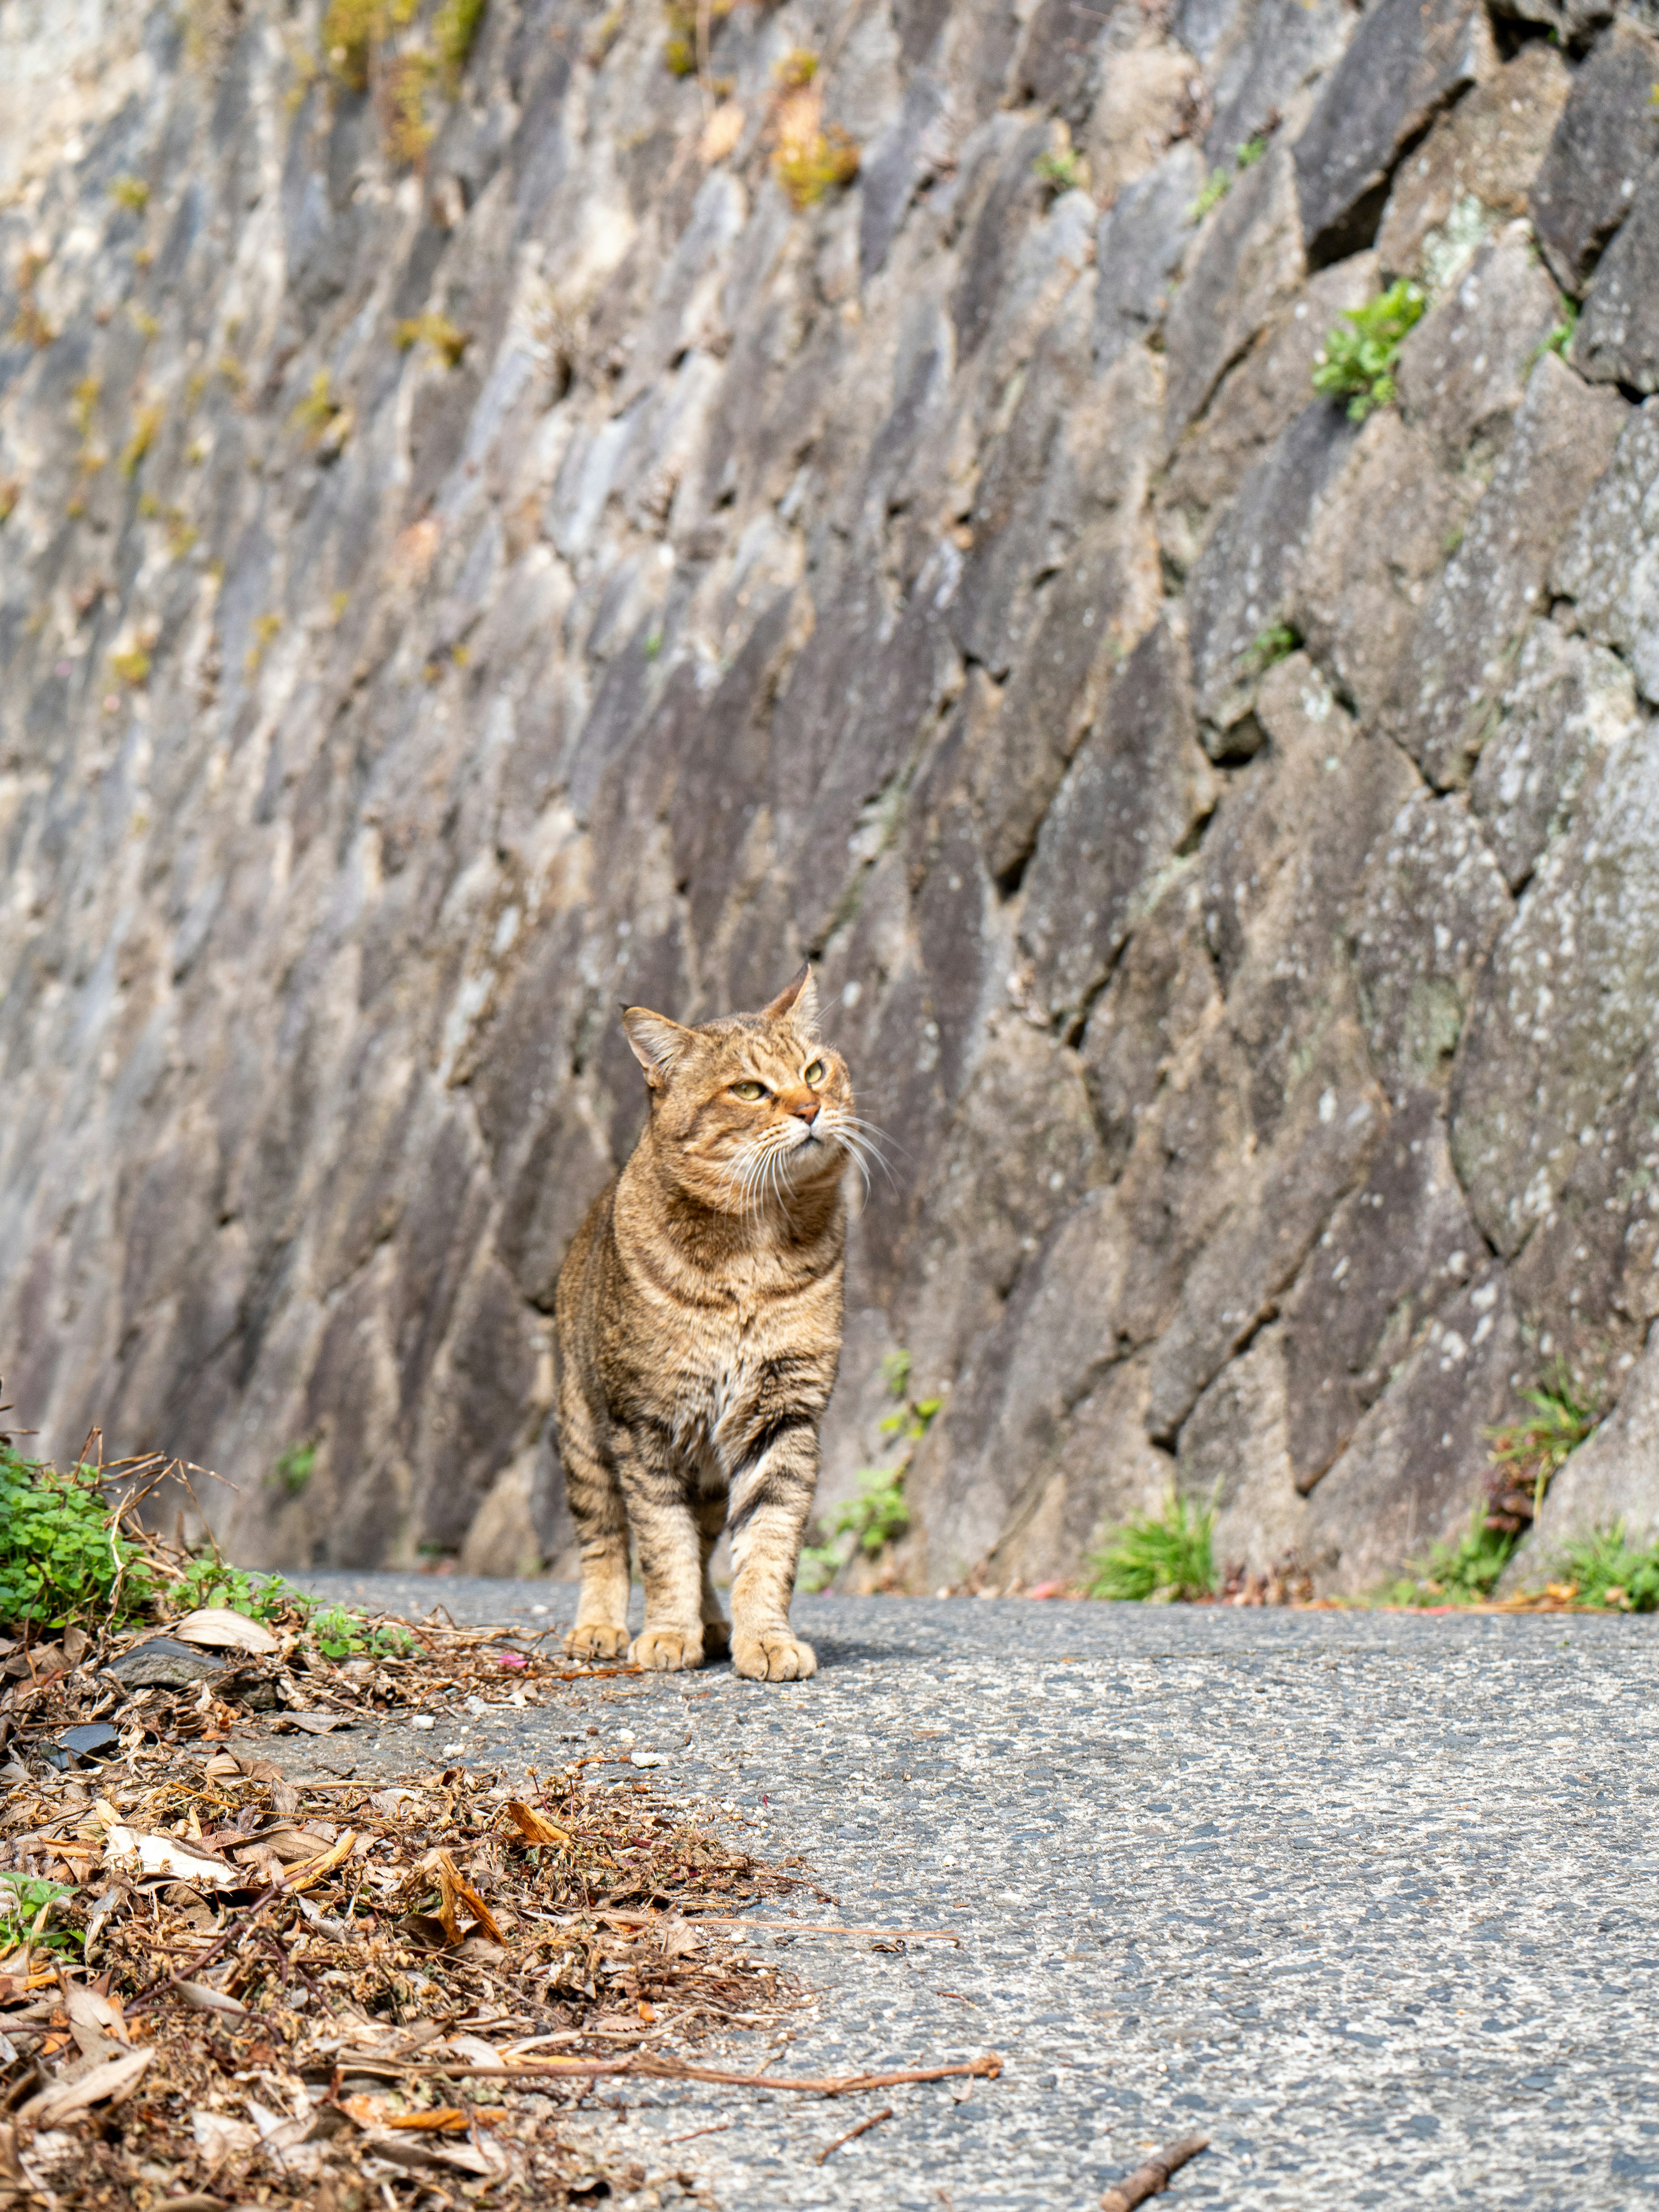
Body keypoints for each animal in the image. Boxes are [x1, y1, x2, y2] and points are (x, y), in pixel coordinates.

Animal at [559, 969, 862, 1672]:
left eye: (814, 1070)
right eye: (749, 1089)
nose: (810, 1109)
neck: (754, 1247)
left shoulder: (783, 1415)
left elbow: (767, 1545)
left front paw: (765, 1638)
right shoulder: (646, 1424)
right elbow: (660, 1547)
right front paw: (668, 1635)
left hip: (709, 1471)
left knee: (702, 1545)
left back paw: (715, 1624)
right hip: (585, 1435)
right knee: (606, 1539)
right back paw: (601, 1627)